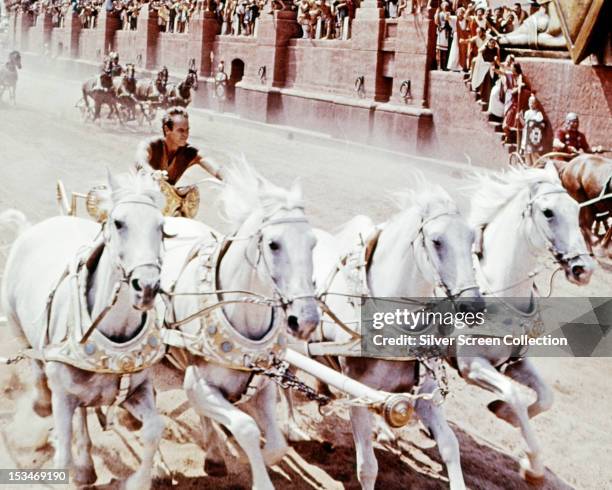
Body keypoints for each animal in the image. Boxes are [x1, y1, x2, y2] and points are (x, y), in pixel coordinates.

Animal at [0, 170, 167, 488]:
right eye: (118, 222)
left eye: (162, 227)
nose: (147, 287)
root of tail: (31, 229)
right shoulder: (64, 397)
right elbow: (63, 456)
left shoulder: (138, 390)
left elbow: (153, 430)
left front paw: (139, 480)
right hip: (19, 327)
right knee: (37, 366)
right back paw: (42, 405)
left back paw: (87, 465)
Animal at [152, 163, 320, 488]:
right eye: (273, 244)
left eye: (313, 244)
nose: (305, 320)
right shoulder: (199, 384)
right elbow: (246, 427)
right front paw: (252, 467)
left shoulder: (263, 385)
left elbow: (278, 446)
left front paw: (249, 456)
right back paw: (159, 466)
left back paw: (214, 454)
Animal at [310, 185, 482, 490]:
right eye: (437, 241)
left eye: (472, 238)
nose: (475, 306)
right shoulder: (357, 395)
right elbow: (367, 467)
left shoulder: (426, 394)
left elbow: (450, 447)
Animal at [460, 164, 592, 482]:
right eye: (547, 212)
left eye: (576, 209)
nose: (584, 269)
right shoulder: (470, 365)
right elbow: (515, 396)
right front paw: (533, 464)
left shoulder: (517, 362)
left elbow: (546, 397)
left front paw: (502, 412)